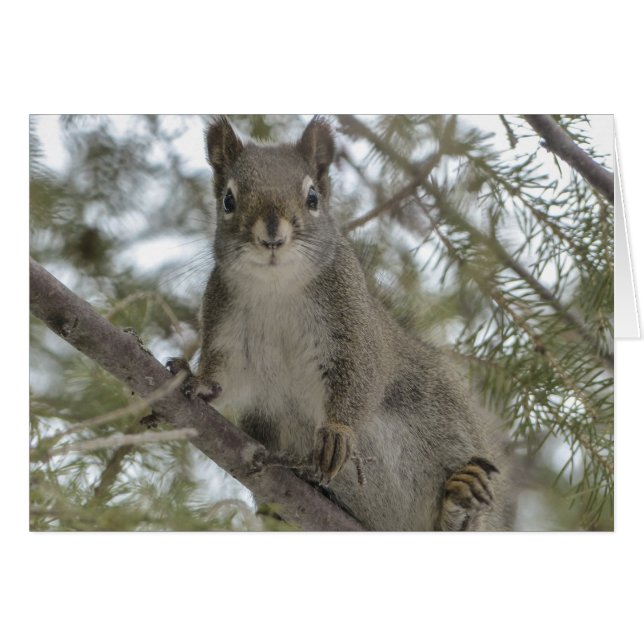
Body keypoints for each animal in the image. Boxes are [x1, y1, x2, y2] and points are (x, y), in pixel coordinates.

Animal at [168, 116, 514, 531]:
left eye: (313, 197)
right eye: (228, 200)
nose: (272, 236)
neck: (277, 287)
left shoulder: (352, 326)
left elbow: (360, 379)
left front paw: (337, 433)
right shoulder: (226, 327)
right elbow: (224, 375)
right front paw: (197, 380)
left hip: (443, 416)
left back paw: (461, 501)